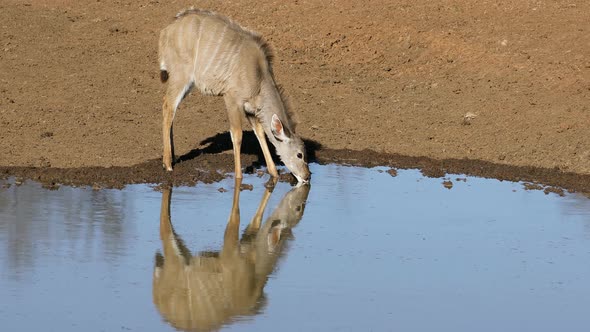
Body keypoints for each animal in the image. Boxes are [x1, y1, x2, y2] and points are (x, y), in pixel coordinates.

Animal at [154, 182, 310, 332]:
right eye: (299, 208)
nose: (307, 177)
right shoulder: (230, 249)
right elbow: (236, 217)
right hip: (173, 259)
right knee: (164, 228)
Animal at [160, 7, 312, 183]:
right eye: (300, 155)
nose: (307, 176)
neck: (259, 75)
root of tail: (167, 30)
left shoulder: (251, 109)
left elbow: (260, 133)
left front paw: (274, 173)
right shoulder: (231, 99)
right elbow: (237, 135)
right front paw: (239, 177)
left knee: (171, 108)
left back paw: (172, 158)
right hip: (181, 77)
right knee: (168, 106)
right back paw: (167, 164)